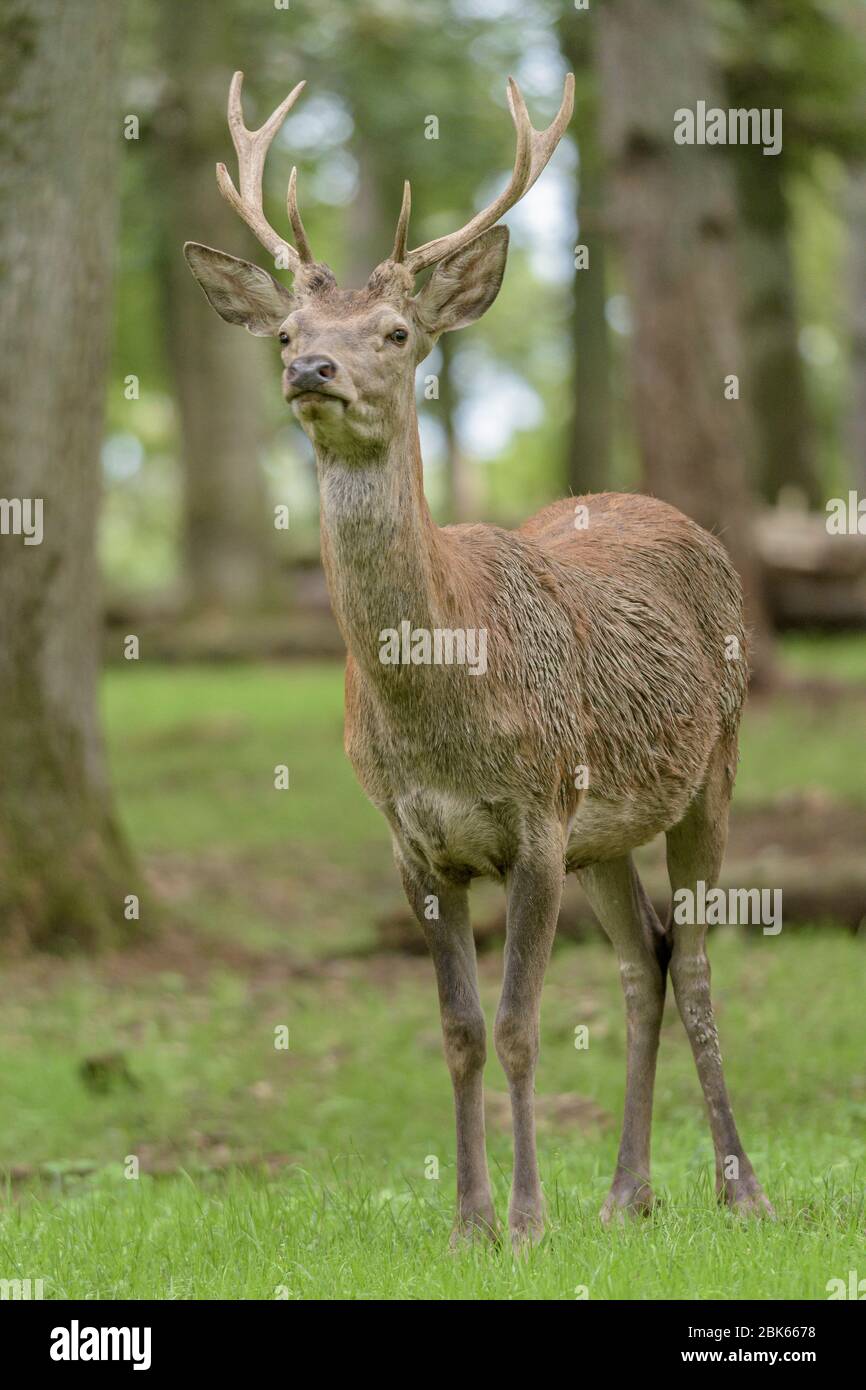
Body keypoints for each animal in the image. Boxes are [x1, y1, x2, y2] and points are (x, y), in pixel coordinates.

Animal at [186, 67, 778, 1251]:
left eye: (396, 330)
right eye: (286, 330)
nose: (313, 368)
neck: (441, 699)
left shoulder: (536, 817)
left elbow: (517, 1024)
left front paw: (528, 1218)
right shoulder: (414, 843)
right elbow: (457, 1028)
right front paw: (468, 1223)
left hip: (713, 763)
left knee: (691, 960)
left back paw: (738, 1189)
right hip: (607, 827)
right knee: (642, 959)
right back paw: (627, 1194)